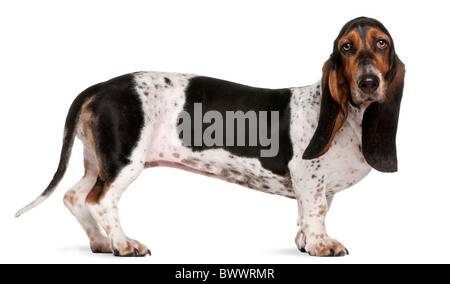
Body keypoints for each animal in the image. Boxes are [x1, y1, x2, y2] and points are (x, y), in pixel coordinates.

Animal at [16, 17, 404, 258]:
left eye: (382, 44)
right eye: (346, 47)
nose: (368, 82)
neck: (349, 117)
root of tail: (100, 87)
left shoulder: (315, 187)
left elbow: (309, 214)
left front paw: (306, 240)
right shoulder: (309, 178)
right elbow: (317, 211)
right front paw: (322, 245)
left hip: (100, 162)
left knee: (74, 196)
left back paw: (100, 241)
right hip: (124, 161)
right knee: (100, 200)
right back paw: (123, 244)